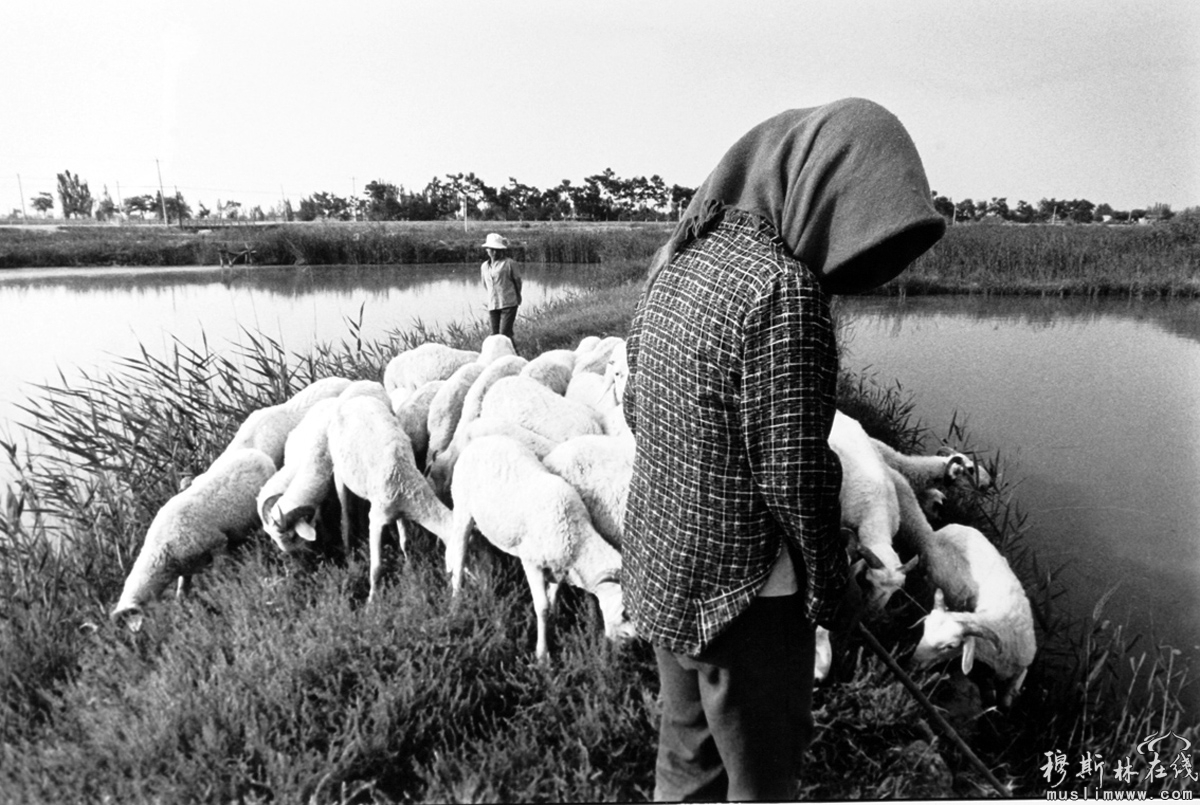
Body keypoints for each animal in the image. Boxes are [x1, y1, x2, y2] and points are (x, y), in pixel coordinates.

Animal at [109, 446, 274, 628]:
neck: (162, 550)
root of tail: (255, 453)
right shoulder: (187, 567)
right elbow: (181, 593)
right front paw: (184, 615)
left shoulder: (218, 544)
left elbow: (221, 574)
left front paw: (226, 591)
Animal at [326, 393, 456, 602]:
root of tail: (352, 399)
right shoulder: (377, 518)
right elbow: (377, 567)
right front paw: (372, 601)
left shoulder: (399, 510)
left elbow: (406, 542)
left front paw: (410, 570)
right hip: (338, 470)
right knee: (344, 515)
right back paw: (348, 553)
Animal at [446, 436, 638, 657]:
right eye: (625, 614)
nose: (626, 648)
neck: (576, 537)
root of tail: (482, 441)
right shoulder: (532, 563)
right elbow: (542, 607)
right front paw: (542, 654)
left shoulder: (559, 569)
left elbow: (552, 599)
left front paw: (554, 627)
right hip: (462, 509)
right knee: (459, 558)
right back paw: (456, 603)